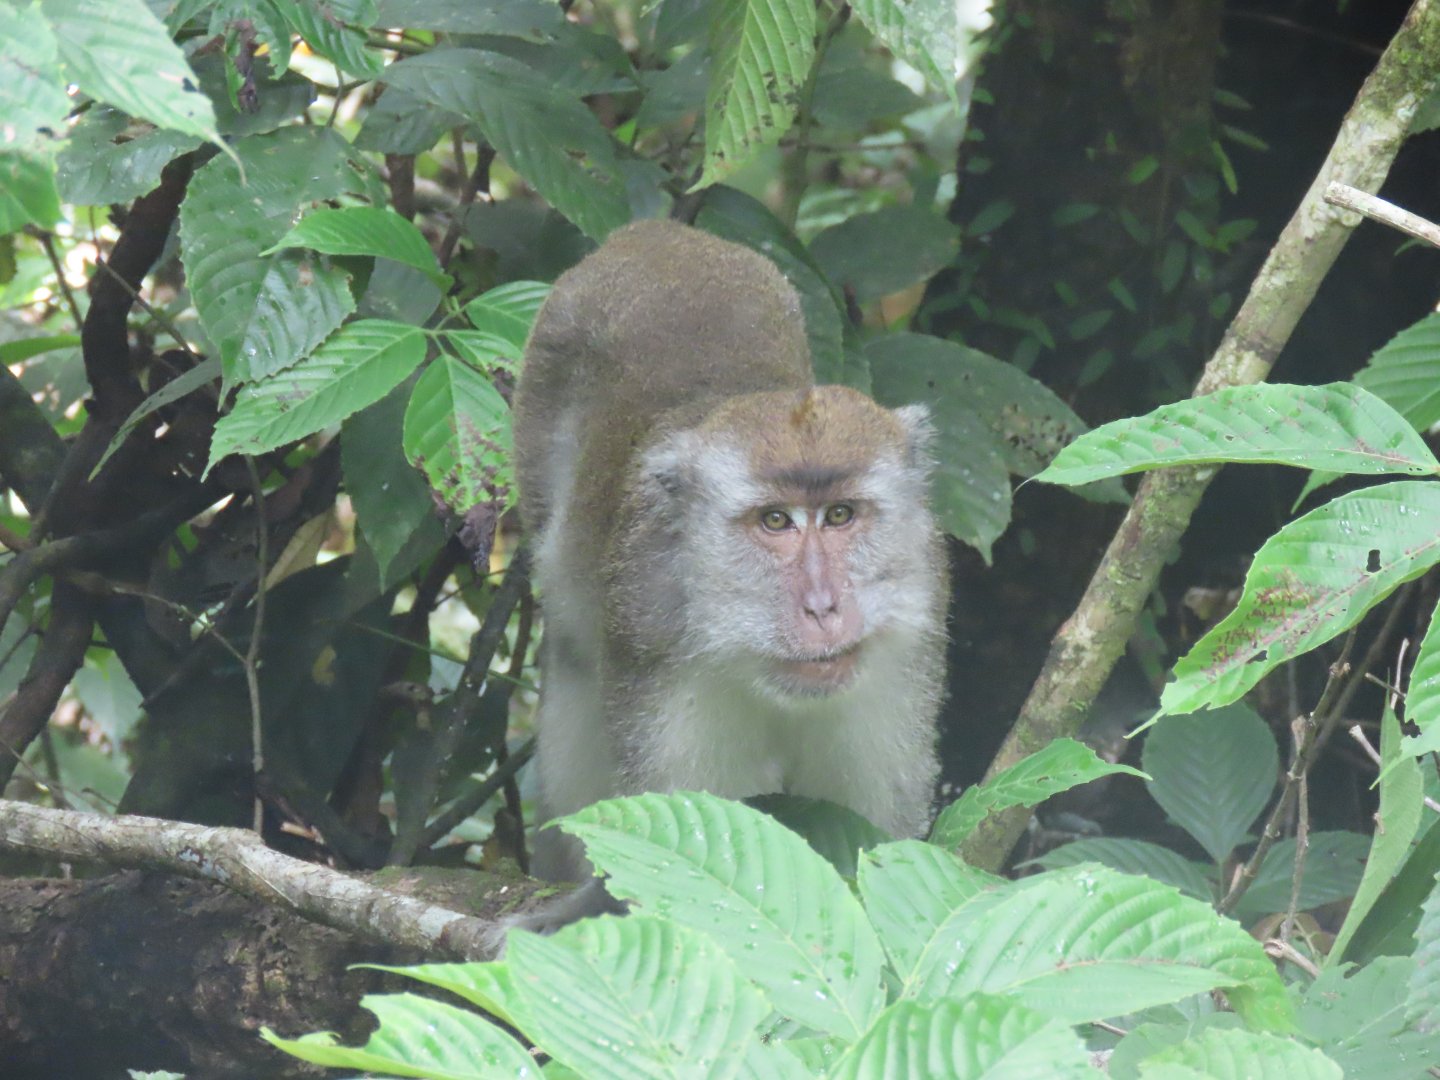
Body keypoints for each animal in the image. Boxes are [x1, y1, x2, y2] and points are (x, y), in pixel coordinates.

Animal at [508, 219, 947, 925]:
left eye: (841, 515)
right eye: (775, 521)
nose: (822, 606)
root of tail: (655, 233)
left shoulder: (907, 640)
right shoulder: (656, 632)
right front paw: (588, 906)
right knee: (573, 651)